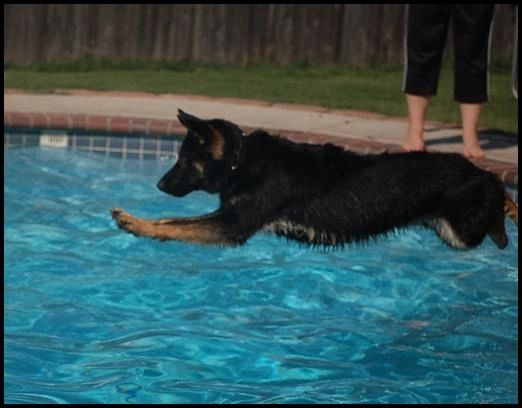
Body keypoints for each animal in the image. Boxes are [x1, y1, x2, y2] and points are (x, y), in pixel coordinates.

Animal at [109, 110, 516, 249]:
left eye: (182, 161)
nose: (159, 186)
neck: (242, 160)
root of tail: (478, 173)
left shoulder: (232, 225)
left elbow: (176, 225)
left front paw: (136, 224)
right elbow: (171, 220)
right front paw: (140, 222)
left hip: (463, 230)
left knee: (502, 207)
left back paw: (507, 209)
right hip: (451, 231)